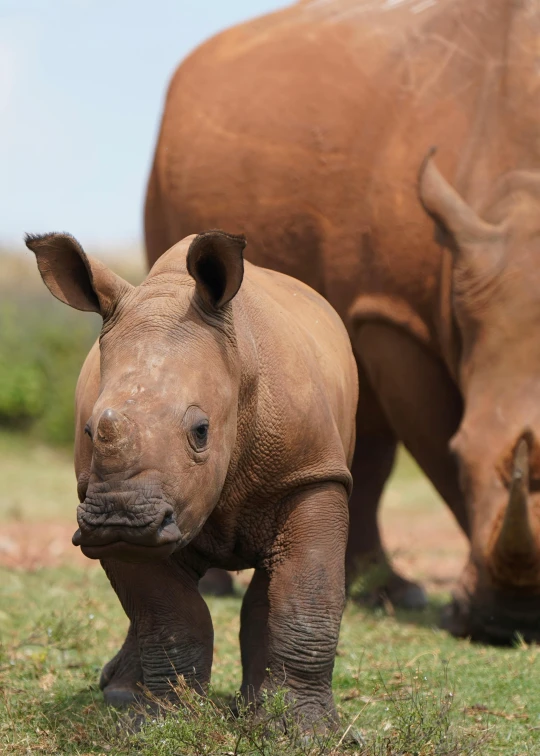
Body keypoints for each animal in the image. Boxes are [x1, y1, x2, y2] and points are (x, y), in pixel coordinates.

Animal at [26, 229, 358, 728]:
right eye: (88, 431)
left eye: (201, 431)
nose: (119, 518)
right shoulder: (110, 511)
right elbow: (169, 616)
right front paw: (164, 719)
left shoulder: (312, 473)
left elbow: (306, 597)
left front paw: (304, 730)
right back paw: (123, 693)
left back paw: (251, 708)